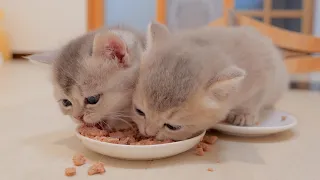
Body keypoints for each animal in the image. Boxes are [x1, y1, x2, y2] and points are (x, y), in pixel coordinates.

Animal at [131, 22, 288, 141]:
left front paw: (243, 114)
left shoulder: (263, 76)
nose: (148, 133)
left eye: (173, 127)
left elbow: (255, 99)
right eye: (139, 111)